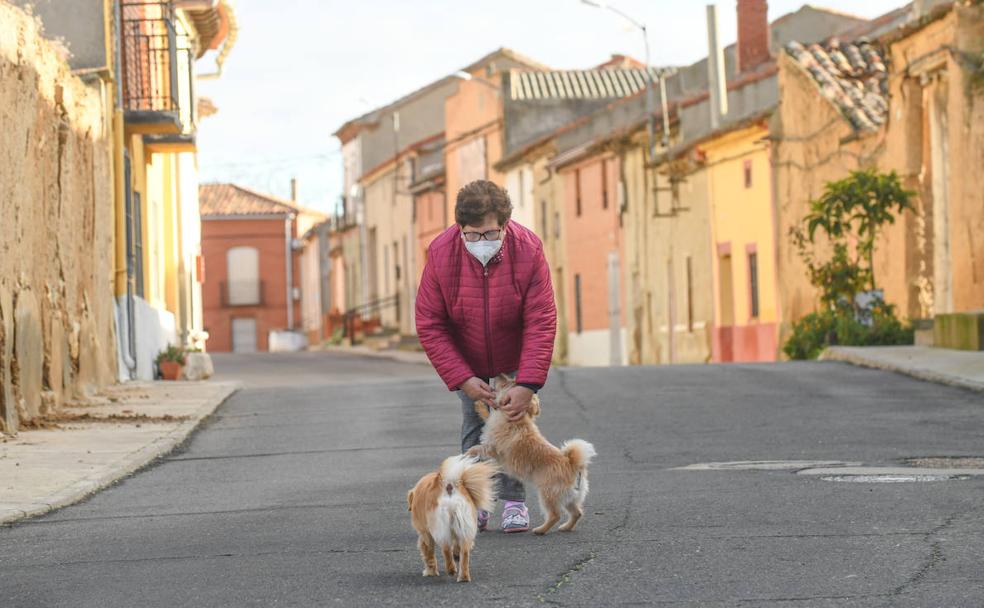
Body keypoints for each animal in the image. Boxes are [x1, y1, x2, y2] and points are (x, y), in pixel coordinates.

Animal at [468, 372, 596, 536]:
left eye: (509, 382)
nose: (500, 373)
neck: (515, 418)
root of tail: (572, 463)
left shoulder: (492, 448)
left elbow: (478, 448)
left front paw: (469, 453)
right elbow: (487, 415)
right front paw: (479, 404)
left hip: (547, 494)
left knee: (555, 515)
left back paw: (541, 530)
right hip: (569, 497)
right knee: (577, 513)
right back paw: (566, 527)